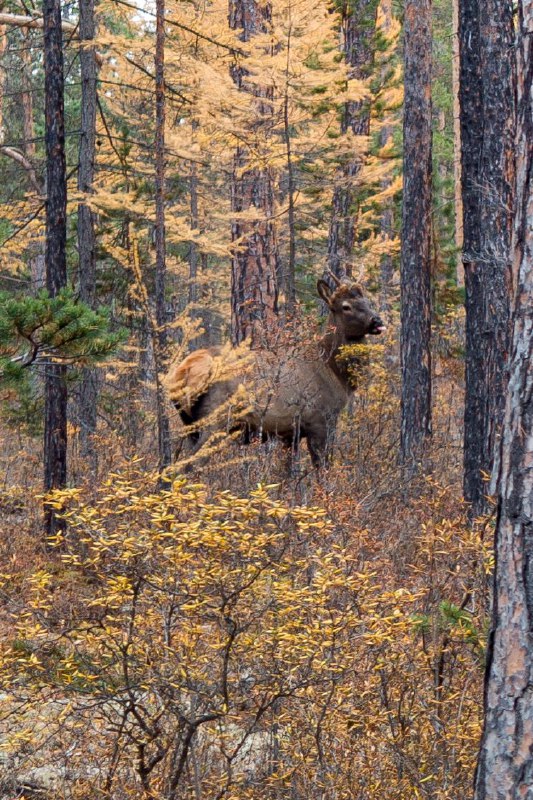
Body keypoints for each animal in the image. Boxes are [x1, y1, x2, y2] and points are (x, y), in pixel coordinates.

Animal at [164, 276, 384, 468]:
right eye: (346, 306)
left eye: (367, 301)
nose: (377, 321)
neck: (336, 374)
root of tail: (183, 372)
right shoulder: (320, 419)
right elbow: (322, 468)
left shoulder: (289, 433)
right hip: (215, 420)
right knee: (190, 465)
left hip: (189, 424)